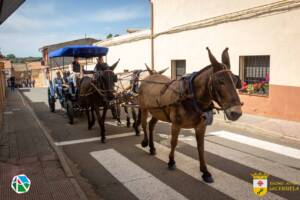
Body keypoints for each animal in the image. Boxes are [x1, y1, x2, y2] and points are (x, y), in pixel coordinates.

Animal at [137, 47, 243, 183]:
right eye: (220, 81)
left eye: (235, 80)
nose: (236, 113)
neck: (190, 96)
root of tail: (150, 75)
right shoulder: (176, 124)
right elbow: (174, 142)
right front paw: (171, 161)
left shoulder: (201, 126)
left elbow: (201, 147)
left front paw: (205, 172)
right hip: (144, 108)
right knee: (144, 124)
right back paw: (145, 142)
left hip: (158, 112)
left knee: (151, 125)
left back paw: (152, 147)